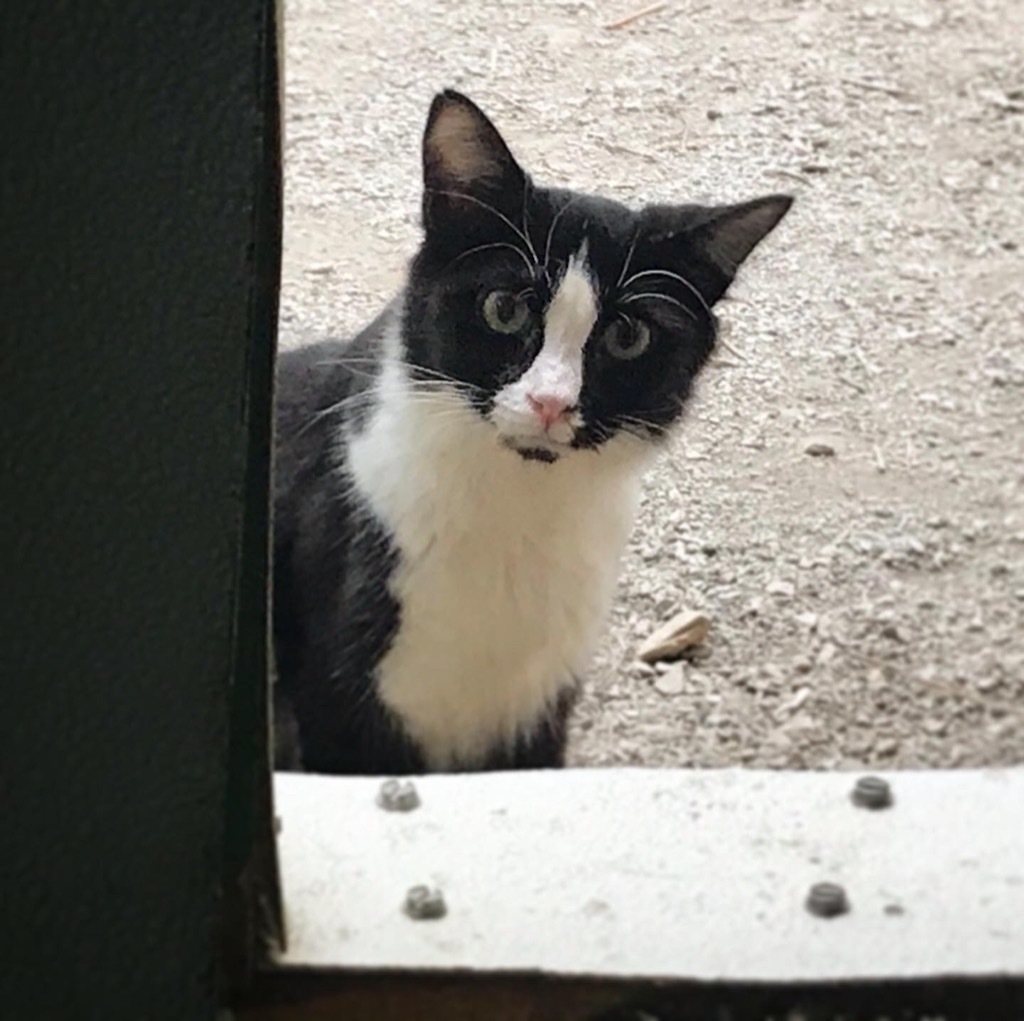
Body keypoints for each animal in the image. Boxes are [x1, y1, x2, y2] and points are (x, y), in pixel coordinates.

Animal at [272, 89, 790, 774]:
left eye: (628, 336)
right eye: (504, 308)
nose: (550, 401)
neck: (517, 506)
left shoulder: (540, 704)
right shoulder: (341, 695)